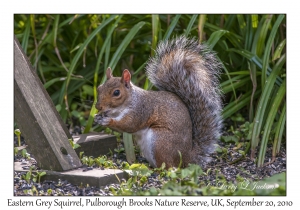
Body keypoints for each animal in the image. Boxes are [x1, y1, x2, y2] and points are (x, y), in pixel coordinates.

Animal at [94, 35, 223, 167]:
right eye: (99, 88)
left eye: (116, 93)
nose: (98, 107)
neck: (118, 109)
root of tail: (187, 157)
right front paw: (97, 117)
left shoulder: (141, 110)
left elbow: (129, 125)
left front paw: (108, 121)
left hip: (160, 141)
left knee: (168, 166)